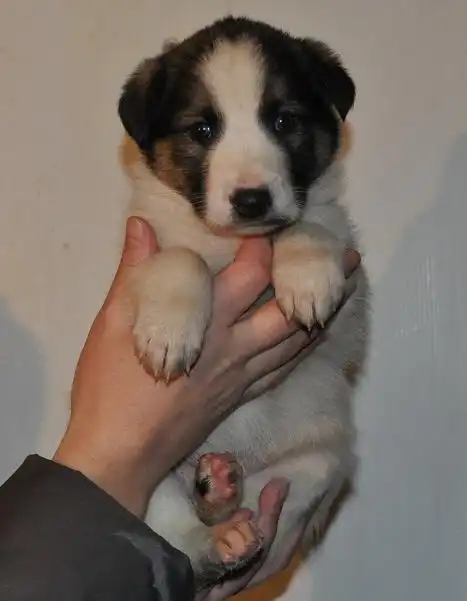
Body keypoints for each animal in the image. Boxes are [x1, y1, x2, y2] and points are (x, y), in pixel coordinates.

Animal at [117, 15, 369, 593]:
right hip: (155, 476)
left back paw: (225, 495)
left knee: (255, 506)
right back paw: (216, 517)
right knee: (183, 536)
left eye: (282, 120)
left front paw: (305, 274)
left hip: (315, 464)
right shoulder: (141, 257)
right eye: (203, 131)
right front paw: (170, 331)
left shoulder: (350, 301)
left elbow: (306, 226)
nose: (251, 200)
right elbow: (181, 255)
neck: (232, 244)